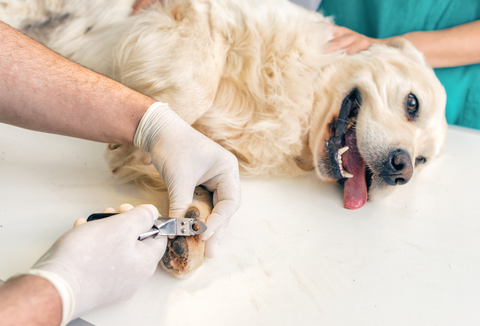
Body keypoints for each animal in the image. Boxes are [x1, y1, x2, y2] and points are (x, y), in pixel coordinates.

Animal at [1, 0, 448, 276]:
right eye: (412, 103)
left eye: (423, 161)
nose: (402, 170)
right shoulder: (203, 14)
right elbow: (195, 86)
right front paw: (135, 145)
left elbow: (203, 185)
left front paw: (190, 232)